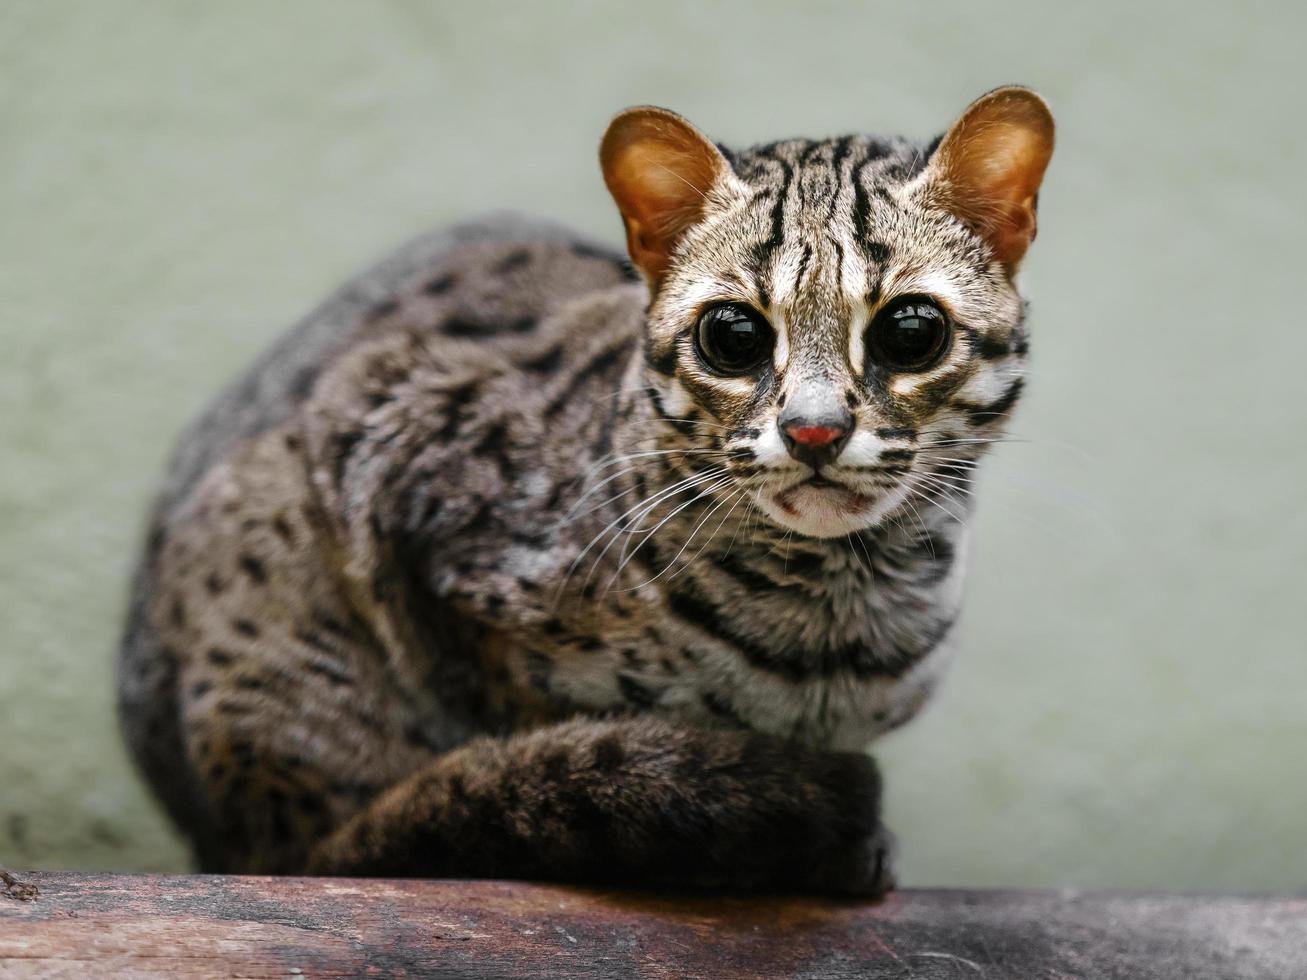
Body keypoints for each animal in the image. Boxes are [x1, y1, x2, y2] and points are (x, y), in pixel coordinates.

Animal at [112, 86, 1050, 898]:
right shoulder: (392, 453)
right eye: (733, 335)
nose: (813, 431)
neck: (833, 625)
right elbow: (519, 732)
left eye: (911, 331)